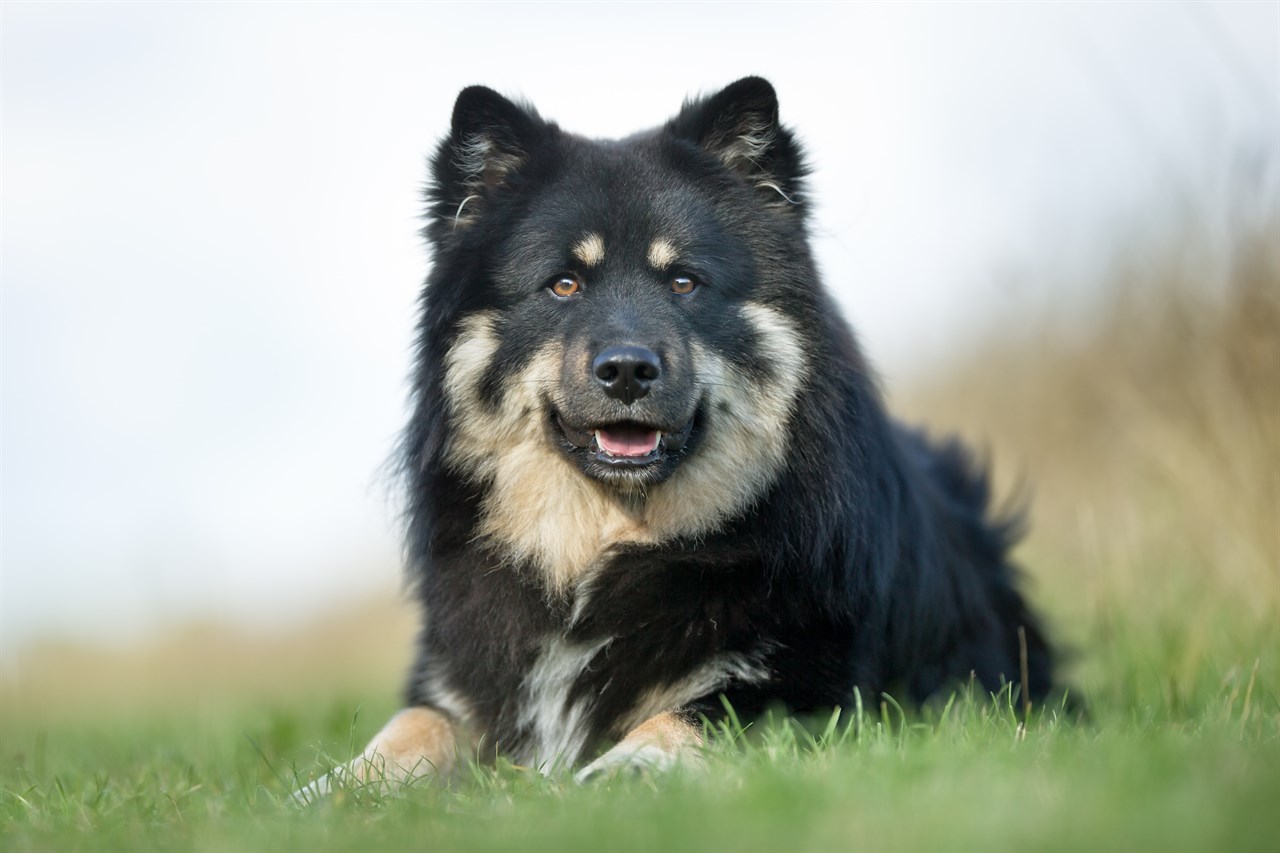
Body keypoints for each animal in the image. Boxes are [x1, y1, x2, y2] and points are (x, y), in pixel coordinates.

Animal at [299, 76, 1049, 794]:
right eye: (564, 284)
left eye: (684, 281)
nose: (628, 369)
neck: (603, 553)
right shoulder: (460, 683)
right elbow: (413, 725)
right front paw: (333, 790)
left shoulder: (810, 686)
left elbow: (694, 714)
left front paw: (630, 768)